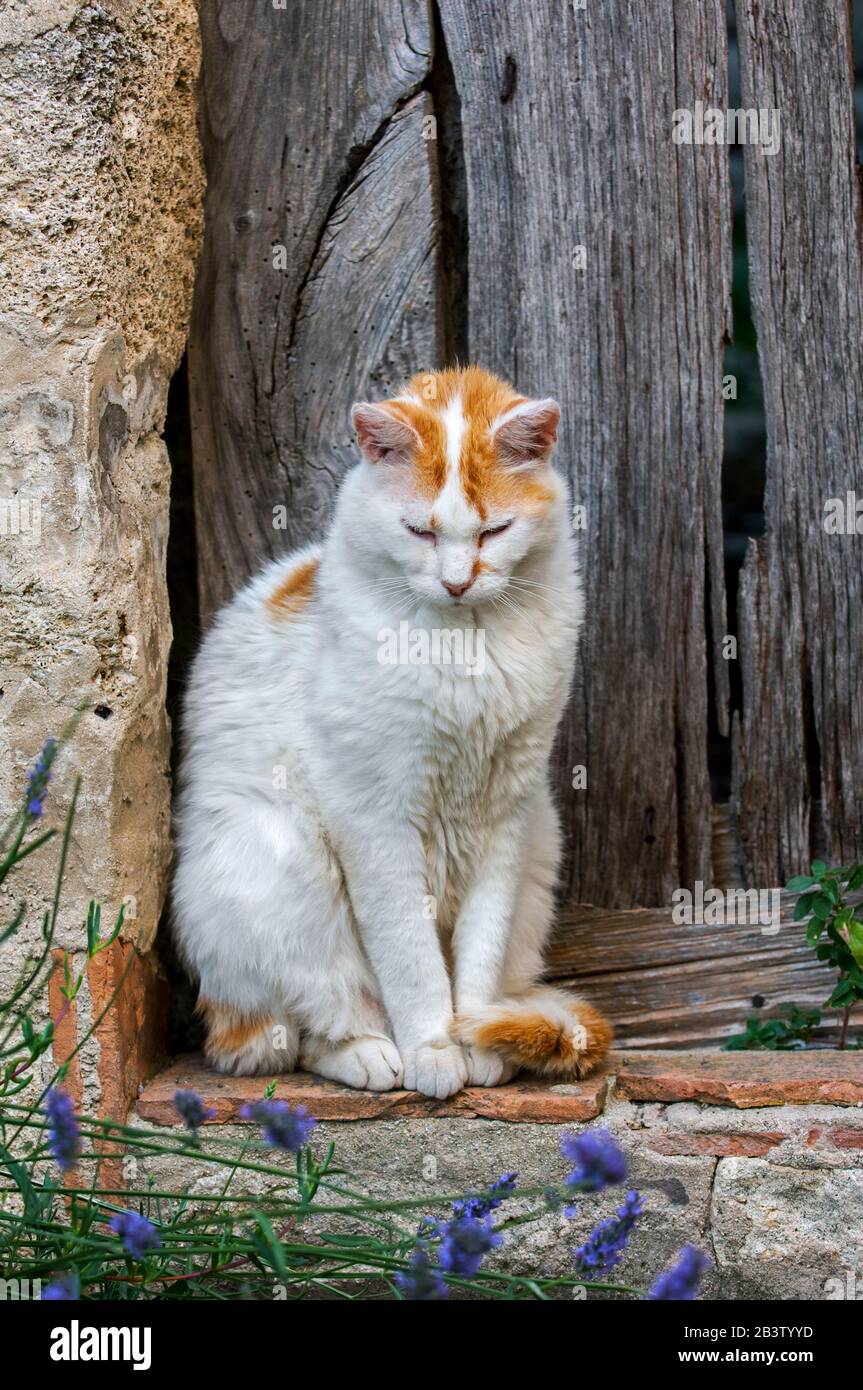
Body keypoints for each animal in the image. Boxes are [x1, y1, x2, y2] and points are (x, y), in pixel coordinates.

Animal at [171, 366, 608, 1095]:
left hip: (543, 842)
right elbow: (410, 958)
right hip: (277, 851)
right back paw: (373, 1055)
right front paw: (434, 1048)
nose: (457, 583)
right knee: (303, 1031)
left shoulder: (507, 812)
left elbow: (479, 951)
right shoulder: (375, 818)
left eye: (494, 532)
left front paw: (477, 1035)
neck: (465, 642)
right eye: (420, 532)